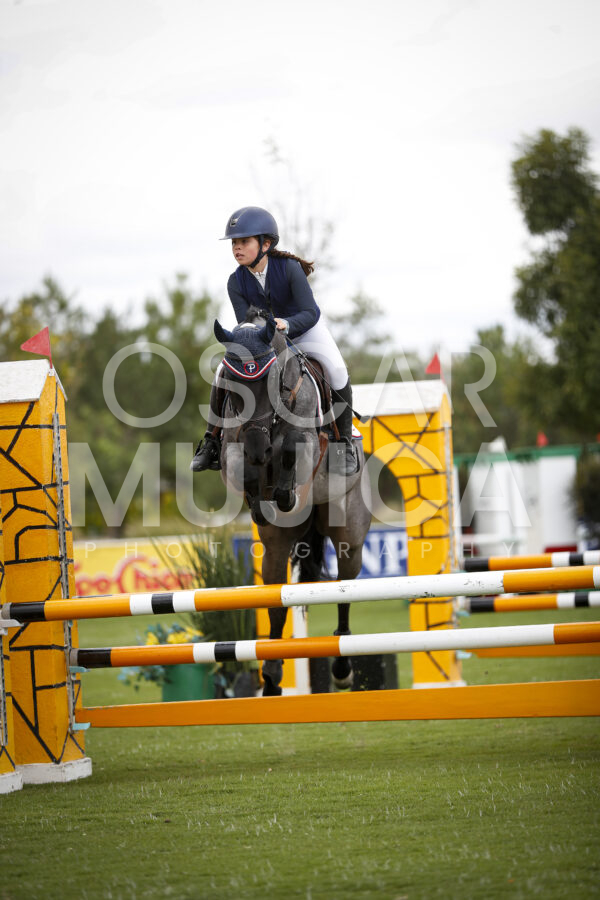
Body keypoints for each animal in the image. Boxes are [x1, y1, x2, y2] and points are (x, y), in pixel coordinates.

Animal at [213, 306, 372, 696]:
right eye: (232, 387)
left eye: (270, 383)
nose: (258, 446)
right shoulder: (232, 450)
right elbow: (244, 472)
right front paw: (259, 500)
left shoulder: (306, 444)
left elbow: (289, 454)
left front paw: (281, 495)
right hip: (274, 550)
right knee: (275, 602)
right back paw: (271, 676)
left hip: (349, 538)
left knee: (344, 589)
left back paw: (342, 668)